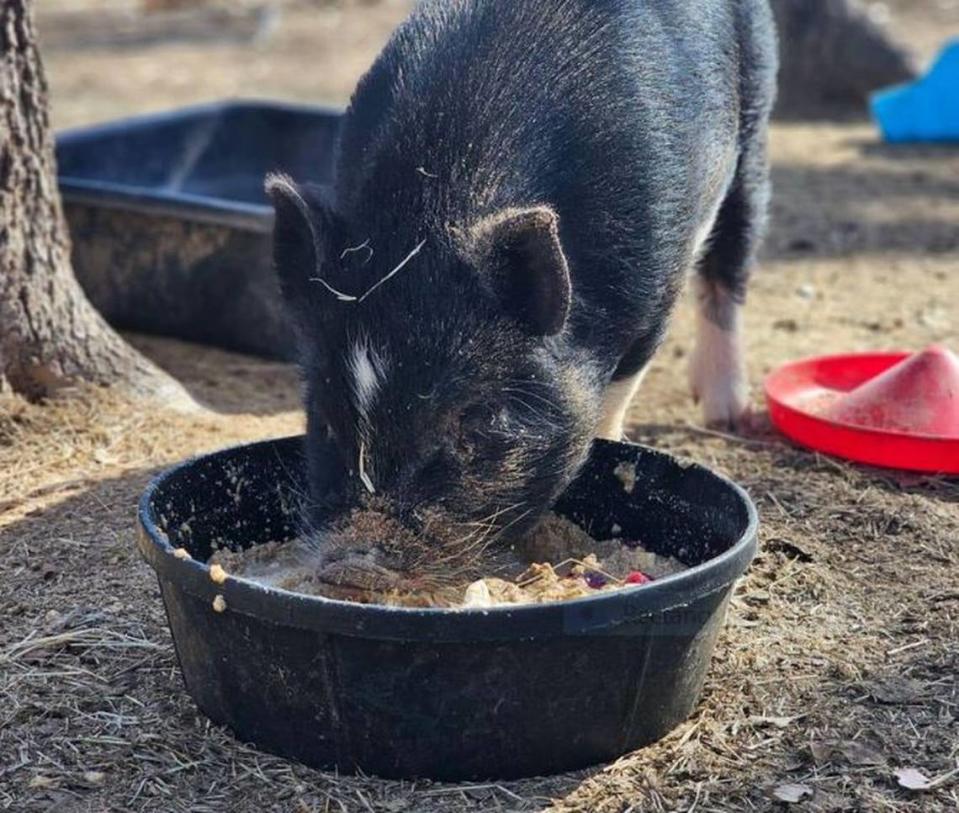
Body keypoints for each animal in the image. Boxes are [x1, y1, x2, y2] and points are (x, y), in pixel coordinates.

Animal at [266, 0, 776, 588]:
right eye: (325, 416)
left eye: (476, 416)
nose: (352, 568)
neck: (440, 197)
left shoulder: (654, 286)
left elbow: (617, 391)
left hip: (753, 123)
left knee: (731, 262)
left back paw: (727, 414)